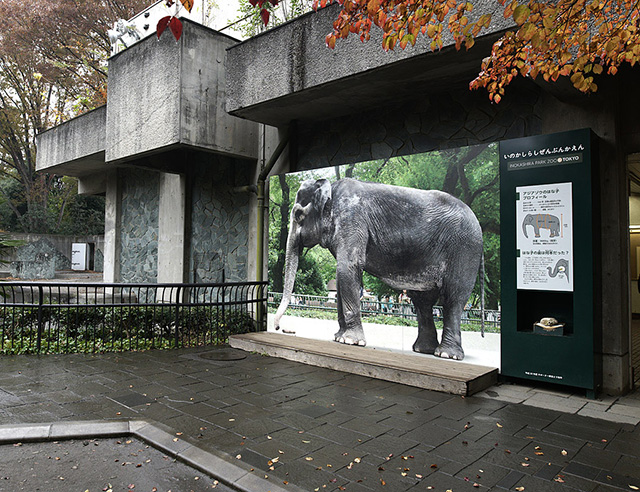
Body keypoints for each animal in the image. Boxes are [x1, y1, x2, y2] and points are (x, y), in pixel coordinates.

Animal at [272, 179, 484, 360]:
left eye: (298, 215)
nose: (279, 328)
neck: (330, 189)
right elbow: (342, 275)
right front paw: (339, 337)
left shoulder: (352, 219)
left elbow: (348, 267)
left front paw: (350, 341)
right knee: (422, 300)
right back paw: (424, 350)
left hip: (464, 249)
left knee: (453, 298)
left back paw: (447, 355)